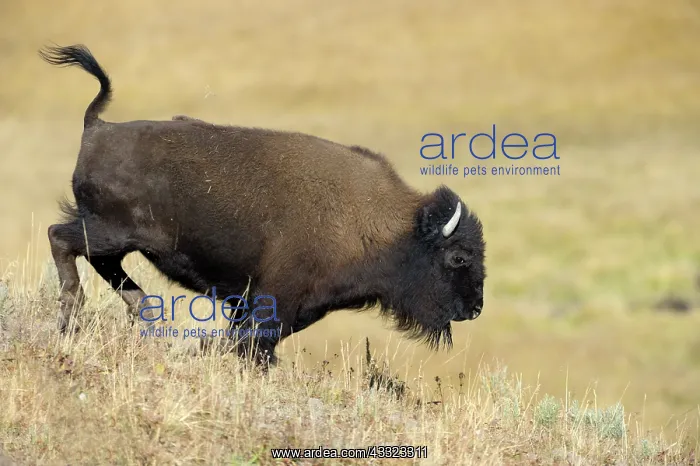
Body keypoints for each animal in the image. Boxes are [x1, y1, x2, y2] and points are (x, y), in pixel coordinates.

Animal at [39, 44, 486, 366]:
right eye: (458, 257)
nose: (476, 308)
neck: (390, 226)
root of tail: (98, 126)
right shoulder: (277, 299)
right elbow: (256, 341)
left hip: (115, 237)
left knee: (102, 263)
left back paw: (143, 311)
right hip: (109, 230)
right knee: (61, 239)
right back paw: (74, 316)